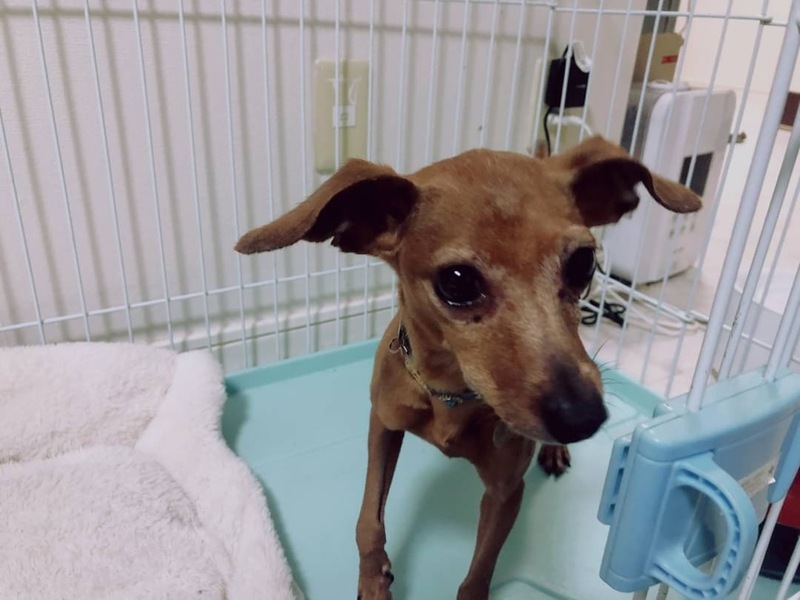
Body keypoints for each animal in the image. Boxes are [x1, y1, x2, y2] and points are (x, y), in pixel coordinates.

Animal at [235, 136, 701, 600]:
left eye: (584, 262)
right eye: (457, 281)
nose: (582, 418)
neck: (449, 392)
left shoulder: (505, 492)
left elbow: (478, 574)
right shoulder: (382, 426)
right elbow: (368, 520)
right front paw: (372, 581)